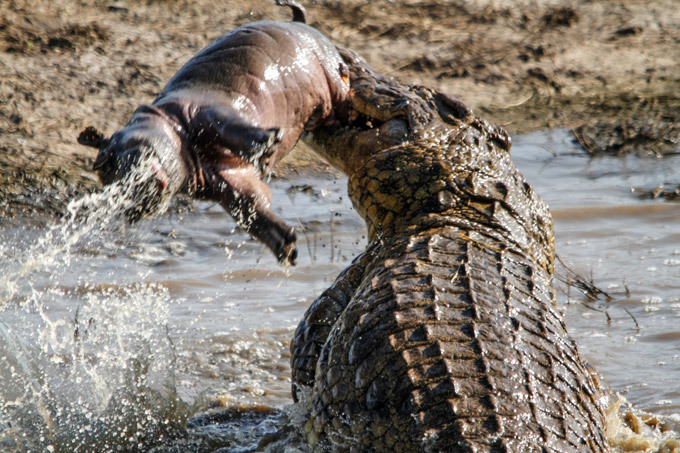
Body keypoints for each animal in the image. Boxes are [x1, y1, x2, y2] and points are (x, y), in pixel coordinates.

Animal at [78, 0, 350, 264]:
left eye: (105, 159)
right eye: (100, 171)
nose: (127, 206)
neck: (166, 122)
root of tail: (298, 22)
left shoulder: (203, 110)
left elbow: (229, 127)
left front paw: (268, 146)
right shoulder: (222, 180)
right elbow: (251, 207)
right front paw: (287, 248)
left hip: (329, 69)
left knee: (339, 93)